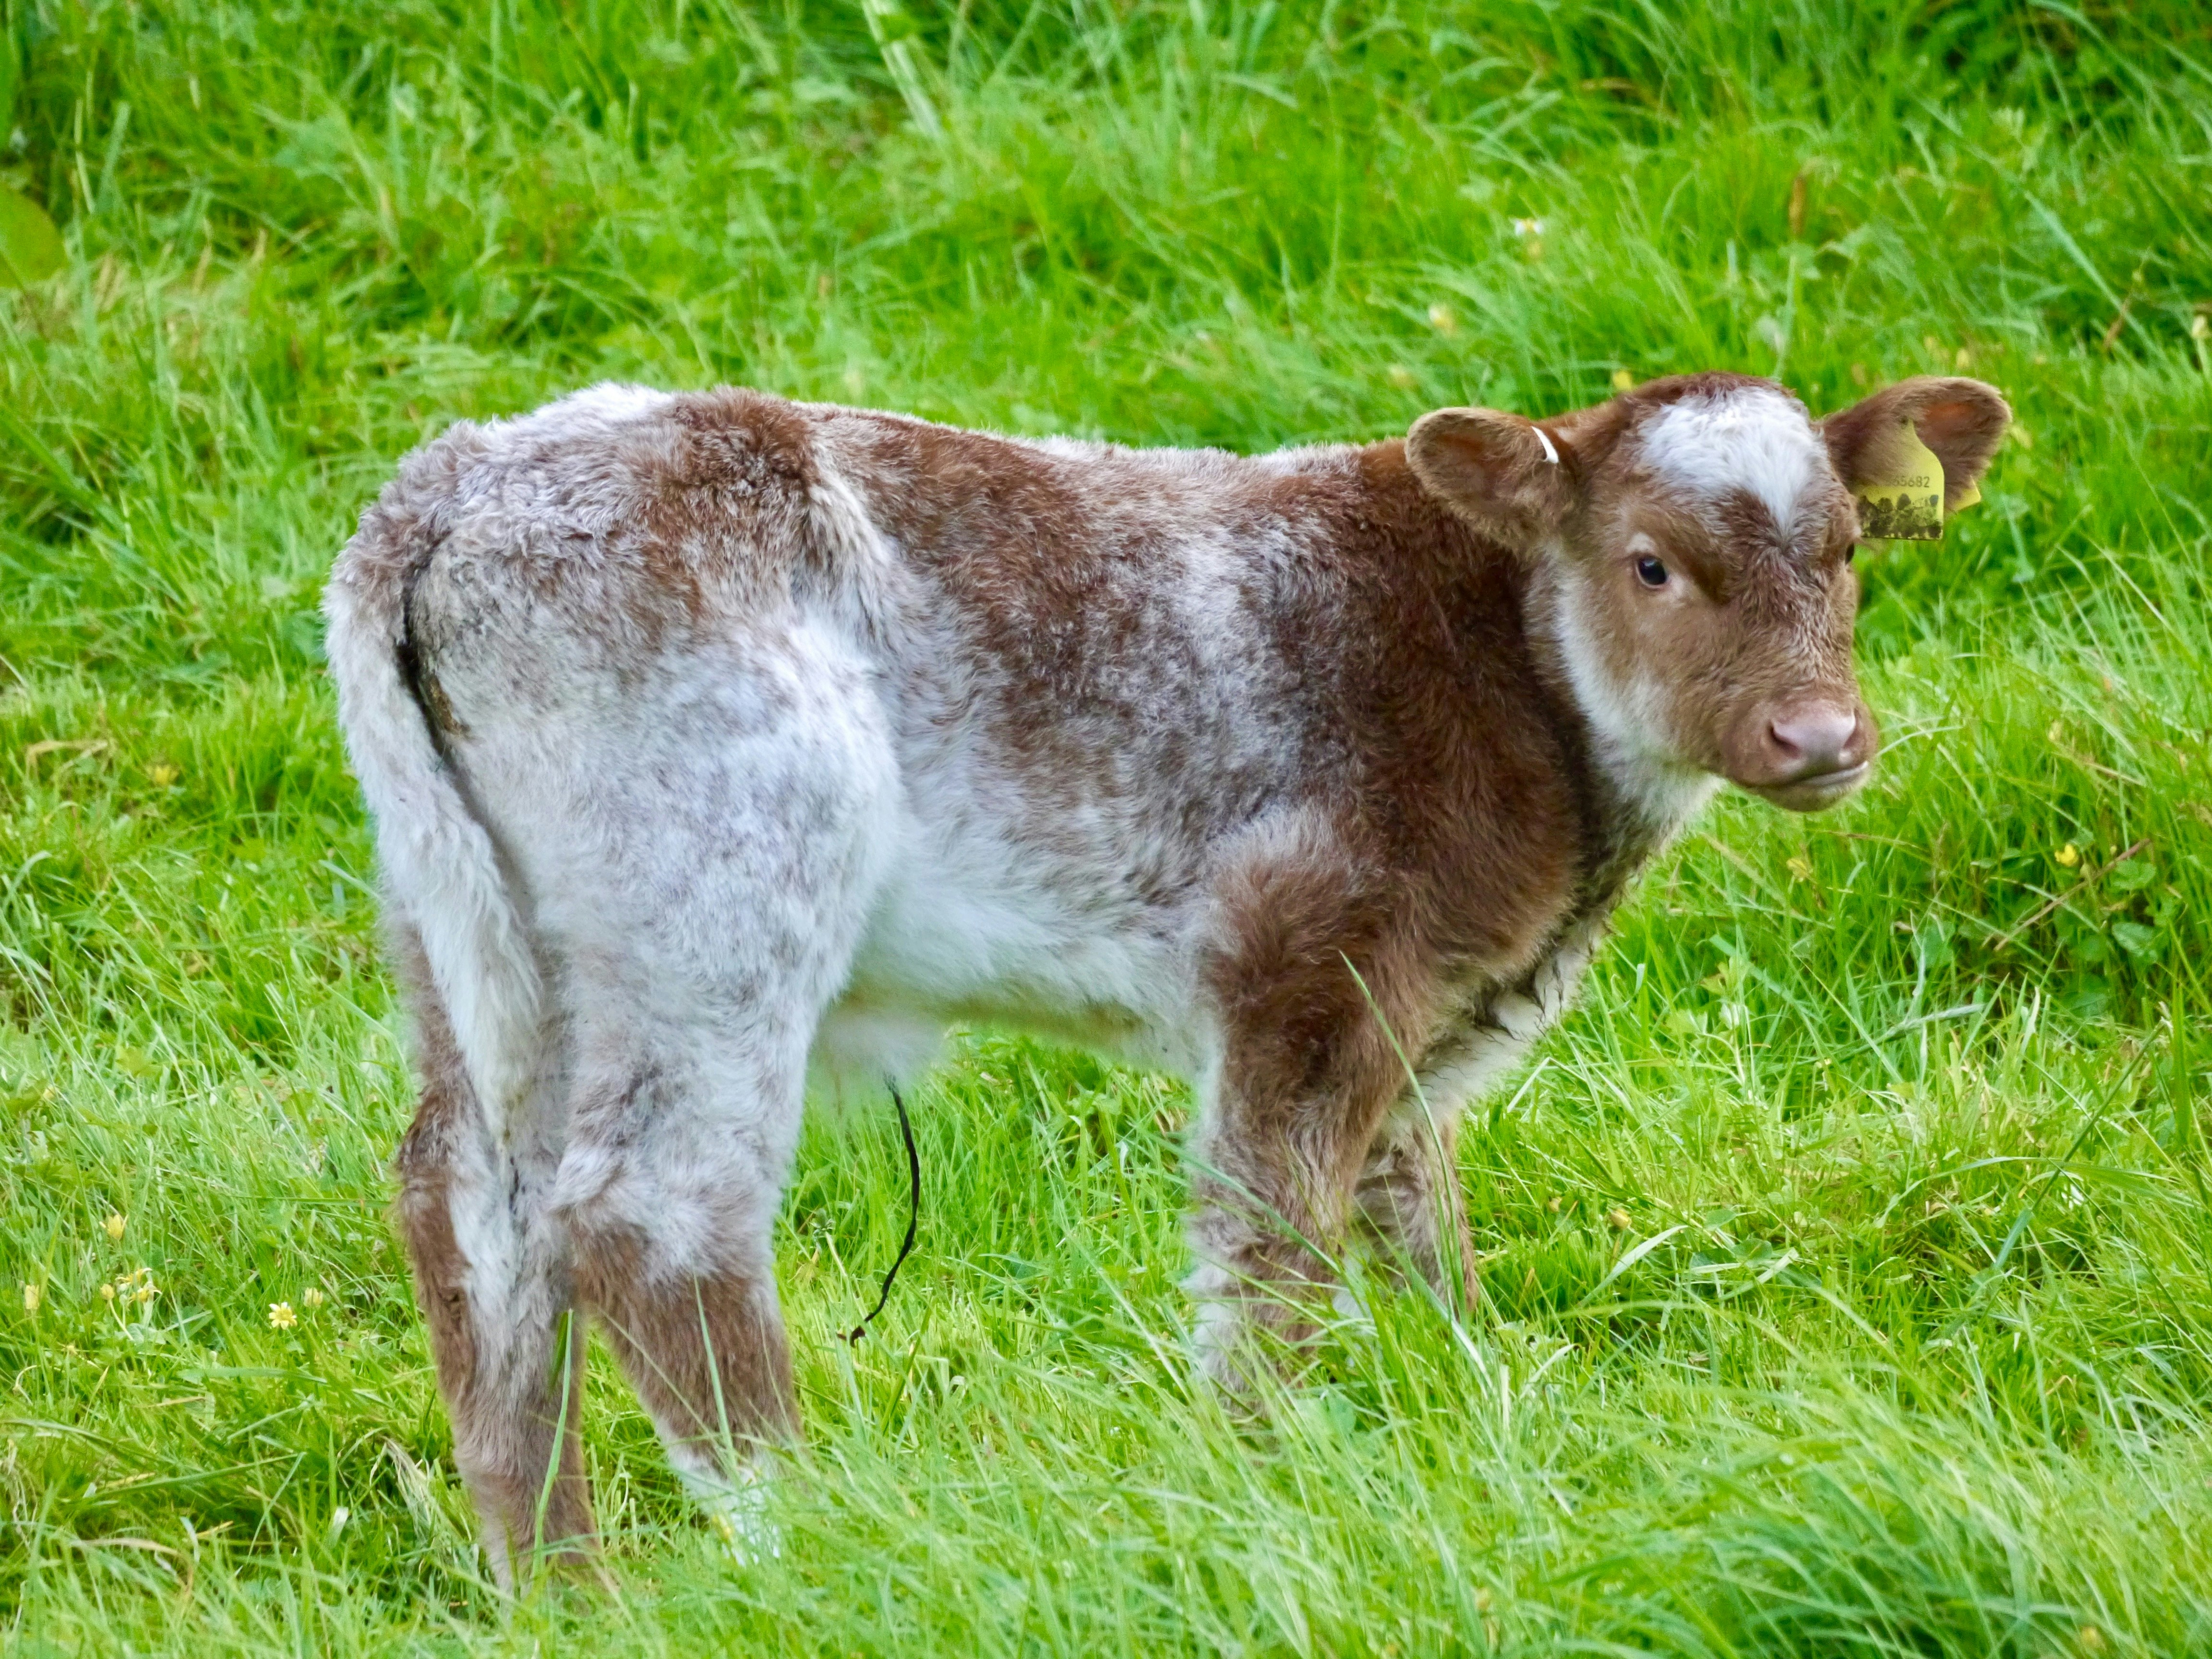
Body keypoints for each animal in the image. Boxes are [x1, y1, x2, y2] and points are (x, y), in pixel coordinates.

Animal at [324, 370, 2009, 1583]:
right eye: (1652, 564)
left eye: (1848, 556)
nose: (1819, 738)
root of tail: (450, 484)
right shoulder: (1305, 965)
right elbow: (1269, 1250)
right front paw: (1258, 1488)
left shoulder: (1421, 1012)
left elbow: (1420, 1225)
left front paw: (1481, 1418)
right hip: (718, 897)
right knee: (651, 1220)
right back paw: (818, 1540)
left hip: (470, 934)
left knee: (468, 1208)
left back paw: (561, 1589)